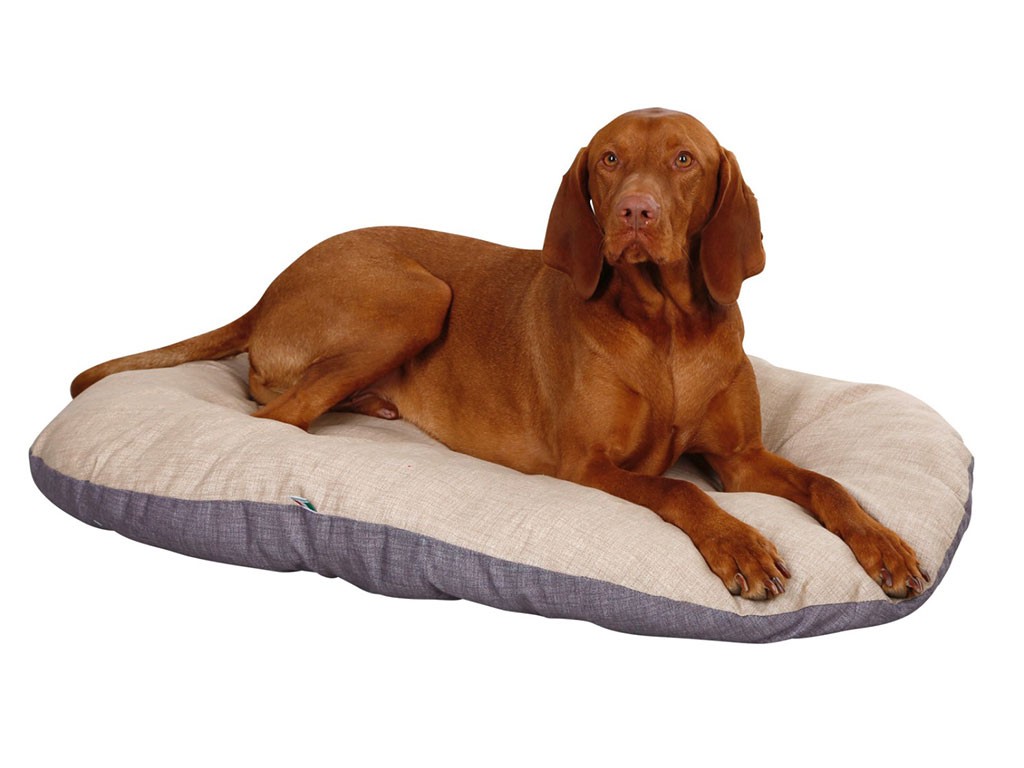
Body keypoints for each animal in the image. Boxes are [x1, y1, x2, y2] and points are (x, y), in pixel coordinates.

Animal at [71, 108, 927, 600]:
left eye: (684, 159)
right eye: (609, 158)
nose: (635, 213)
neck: (667, 328)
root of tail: (269, 287)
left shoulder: (742, 458)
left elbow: (828, 485)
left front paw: (884, 546)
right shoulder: (590, 467)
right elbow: (680, 493)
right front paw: (741, 545)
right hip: (417, 296)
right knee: (277, 417)